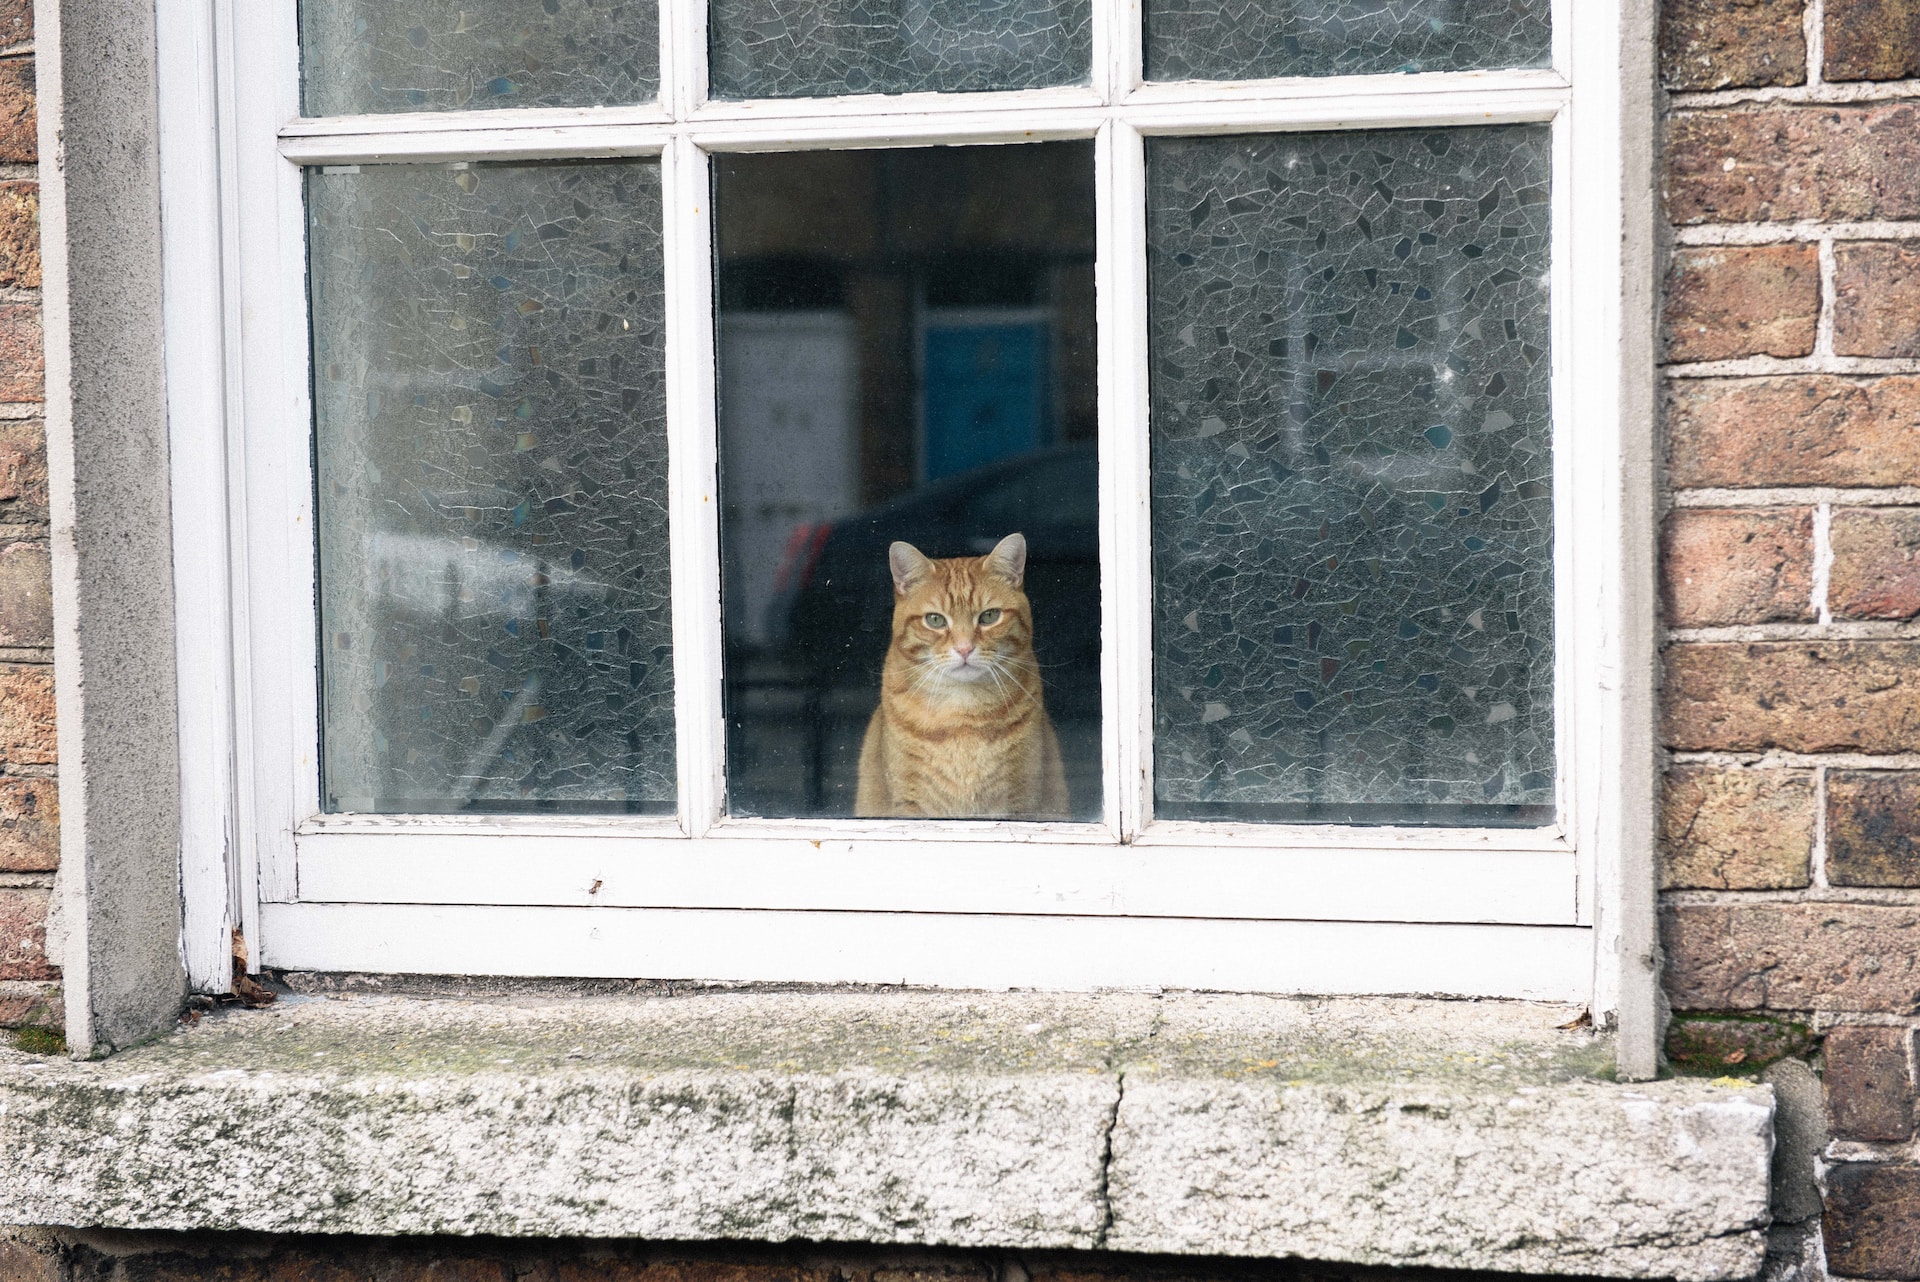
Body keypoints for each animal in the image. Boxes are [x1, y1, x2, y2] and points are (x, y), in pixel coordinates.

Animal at [860, 533, 1075, 821]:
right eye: (935, 620)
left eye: (989, 616)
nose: (964, 648)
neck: (961, 717)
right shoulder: (910, 804)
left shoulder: (1021, 803)